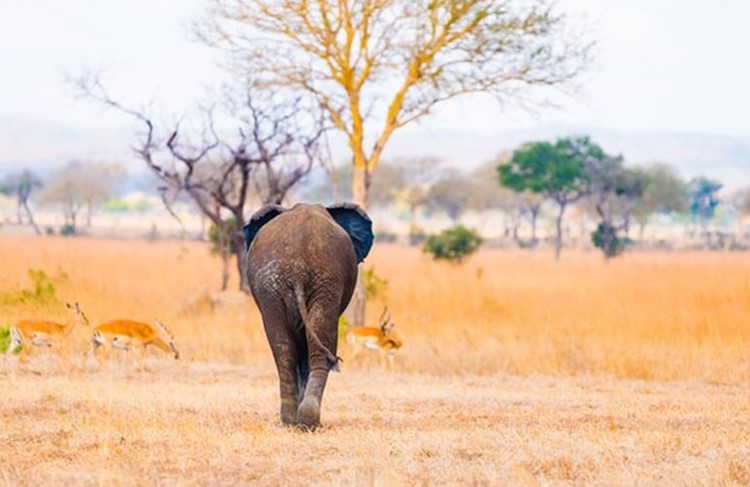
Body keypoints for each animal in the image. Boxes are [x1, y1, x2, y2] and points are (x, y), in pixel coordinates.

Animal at [245, 202, 374, 430]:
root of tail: (297, 269)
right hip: (323, 282)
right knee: (318, 344)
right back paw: (309, 422)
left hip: (275, 286)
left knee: (283, 350)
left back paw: (291, 422)